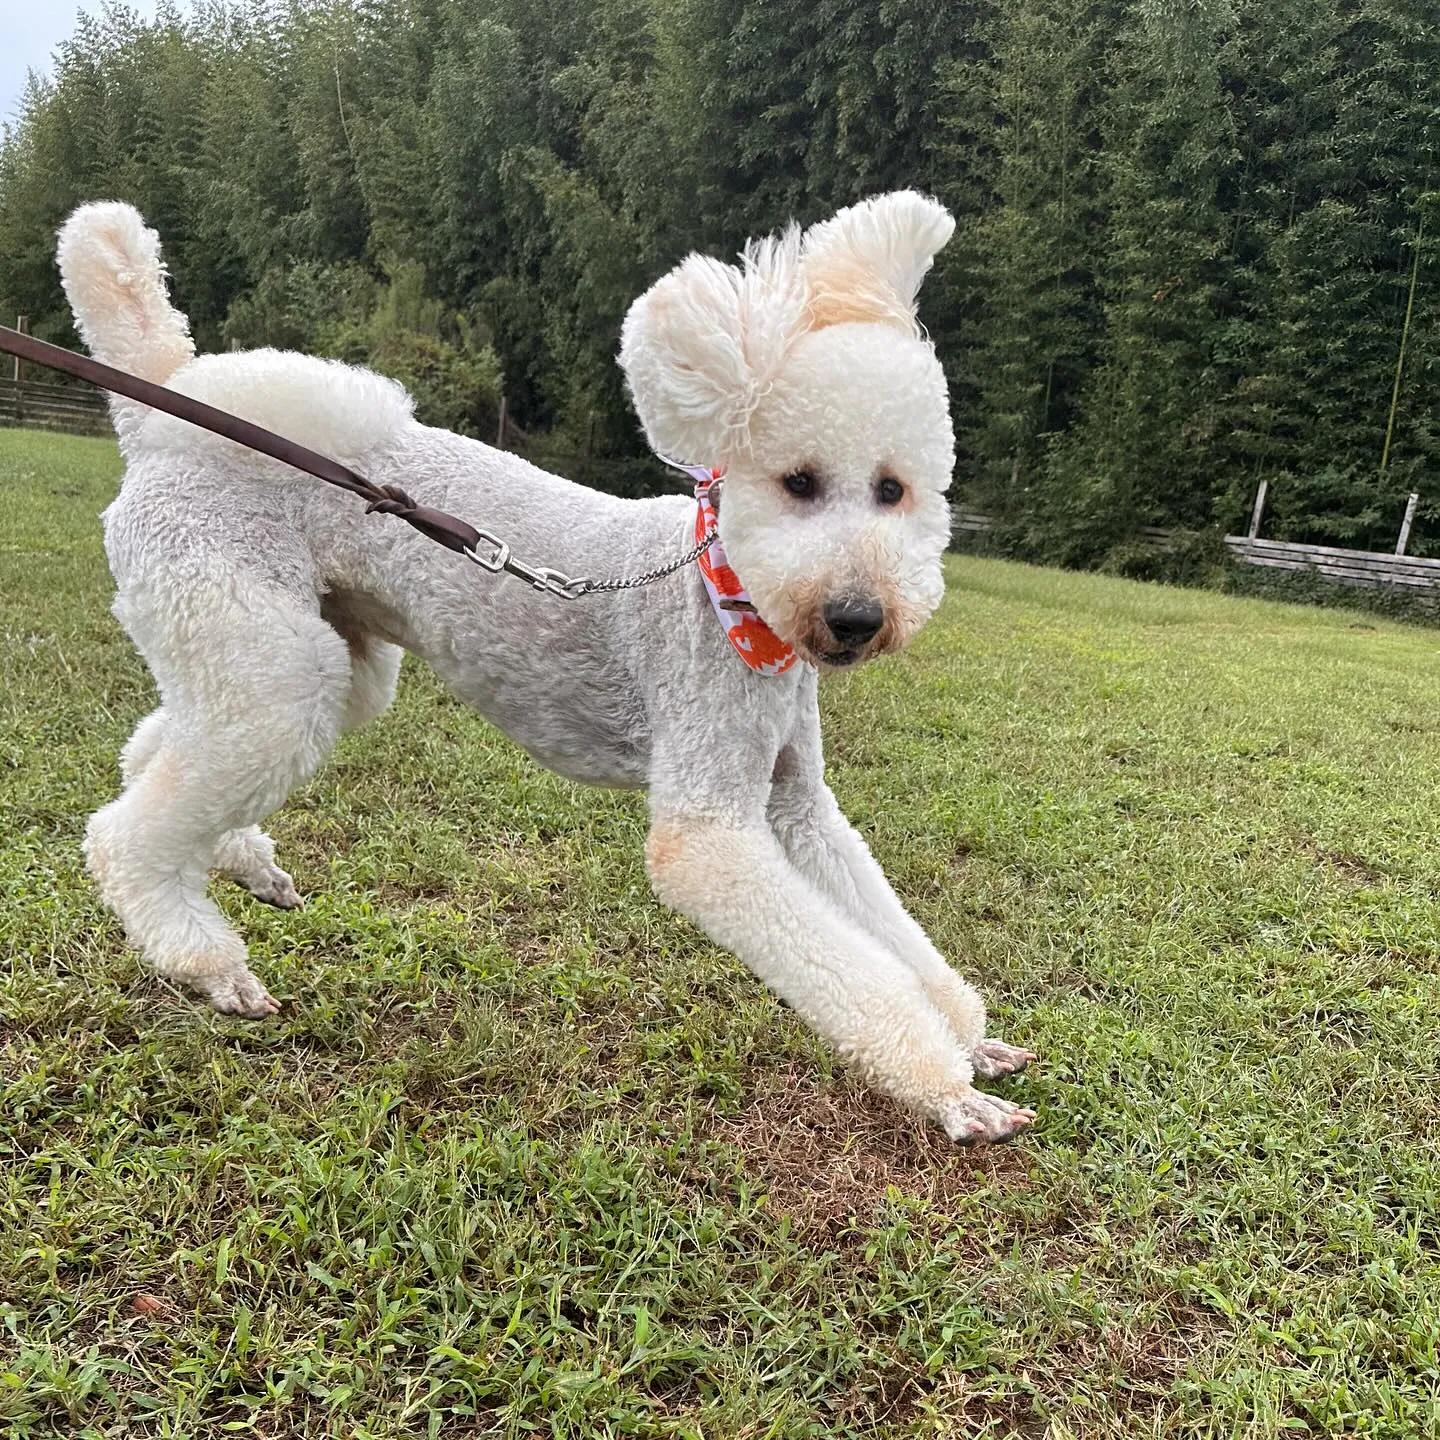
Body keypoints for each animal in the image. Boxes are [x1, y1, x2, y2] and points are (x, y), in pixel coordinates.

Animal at [61, 191, 1036, 1140]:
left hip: (295, 656)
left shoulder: (797, 802)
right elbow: (838, 958)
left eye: (892, 490)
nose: (857, 617)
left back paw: (244, 864)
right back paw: (207, 959)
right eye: (798, 482)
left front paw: (972, 1043)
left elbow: (887, 927)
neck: (729, 601)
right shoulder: (710, 818)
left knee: (159, 749)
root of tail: (162, 414)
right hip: (257, 643)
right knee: (123, 830)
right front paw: (949, 1093)